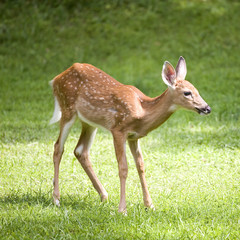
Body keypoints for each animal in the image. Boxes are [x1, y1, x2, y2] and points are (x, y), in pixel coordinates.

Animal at [49, 57, 211, 213]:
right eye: (187, 92)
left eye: (197, 90)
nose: (207, 108)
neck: (143, 112)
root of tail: (56, 79)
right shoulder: (118, 130)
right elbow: (123, 168)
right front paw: (122, 210)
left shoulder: (134, 137)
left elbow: (141, 166)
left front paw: (149, 205)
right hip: (68, 109)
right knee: (58, 147)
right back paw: (56, 199)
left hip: (89, 122)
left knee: (80, 150)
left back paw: (104, 195)